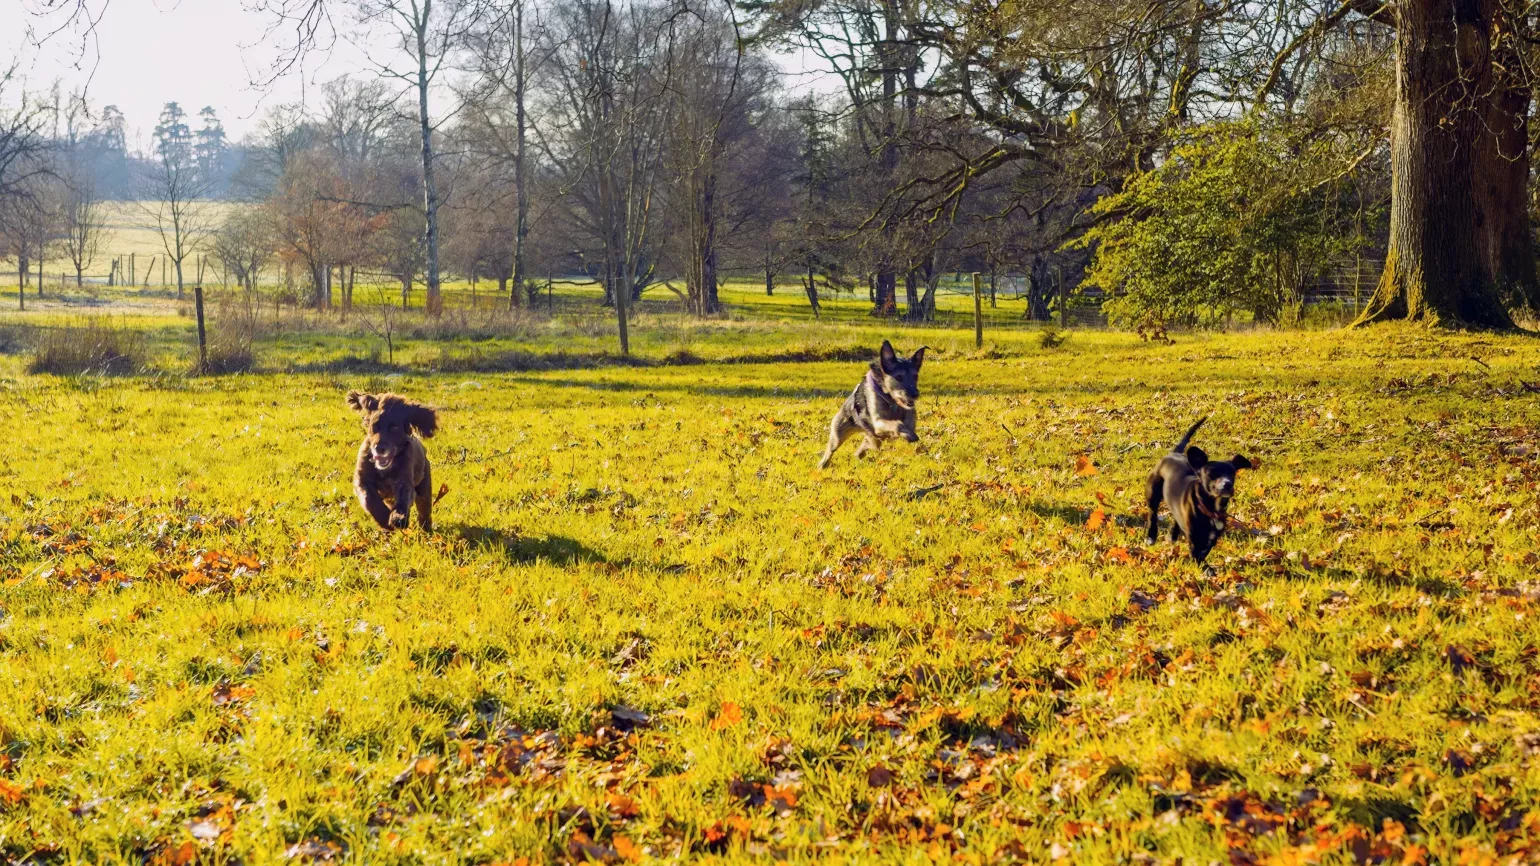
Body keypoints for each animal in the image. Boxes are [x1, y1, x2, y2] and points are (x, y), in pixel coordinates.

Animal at [819, 340, 924, 468]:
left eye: (915, 376)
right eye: (899, 377)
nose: (915, 394)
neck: (891, 400)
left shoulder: (908, 411)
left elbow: (909, 420)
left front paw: (908, 431)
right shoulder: (878, 422)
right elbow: (897, 424)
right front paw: (908, 434)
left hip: (874, 440)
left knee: (867, 444)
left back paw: (859, 454)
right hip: (838, 434)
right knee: (830, 450)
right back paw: (822, 465)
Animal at [1145, 416, 1250, 563]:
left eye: (1232, 473)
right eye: (1211, 473)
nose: (1227, 484)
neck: (1212, 510)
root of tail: (1174, 453)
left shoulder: (1211, 538)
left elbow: (1204, 552)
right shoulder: (1195, 540)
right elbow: (1198, 557)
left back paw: (1173, 535)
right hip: (1153, 493)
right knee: (1152, 513)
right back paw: (1151, 536)